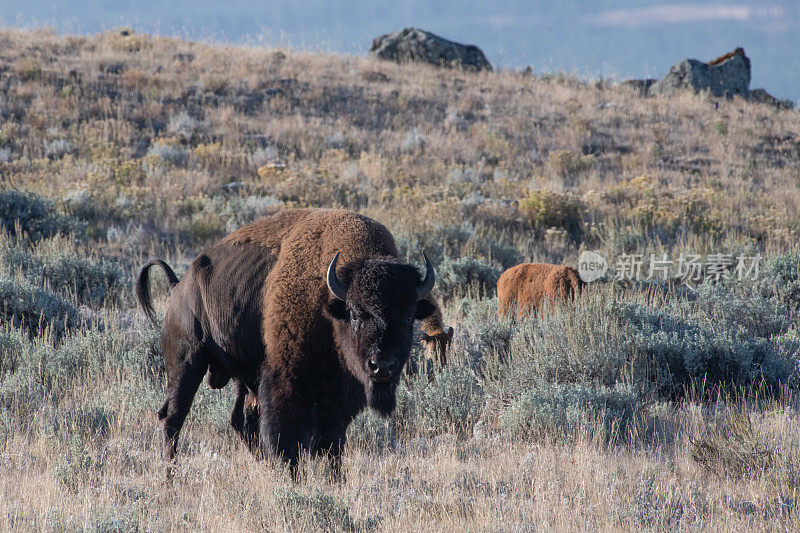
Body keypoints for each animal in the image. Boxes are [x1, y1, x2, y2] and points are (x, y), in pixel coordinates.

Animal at [136, 208, 444, 478]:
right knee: (173, 418)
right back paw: (171, 479)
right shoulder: (285, 384)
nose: (382, 366)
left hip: (242, 377)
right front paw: (293, 481)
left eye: (408, 317)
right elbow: (287, 442)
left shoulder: (341, 398)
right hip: (187, 363)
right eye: (356, 313)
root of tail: (179, 285)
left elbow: (331, 445)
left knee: (239, 421)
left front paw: (334, 481)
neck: (330, 303)